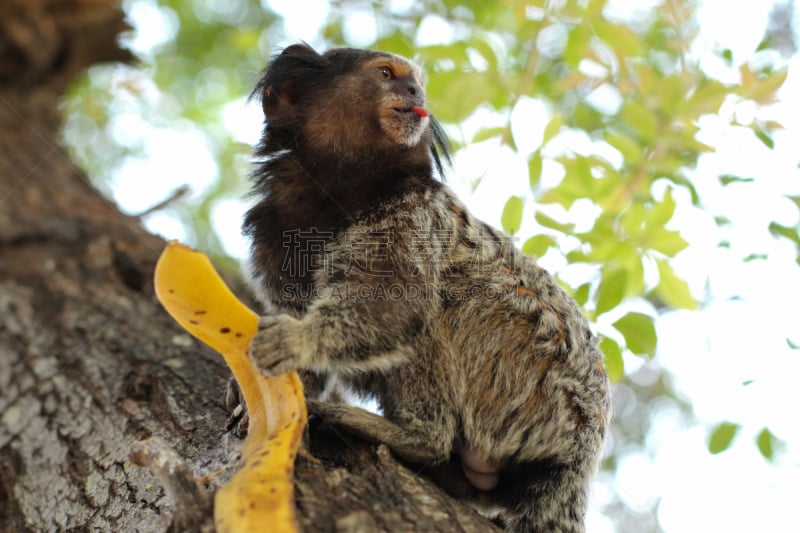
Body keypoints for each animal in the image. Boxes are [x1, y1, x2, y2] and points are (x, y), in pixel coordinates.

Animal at [241, 43, 608, 528]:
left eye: (416, 83)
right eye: (386, 74)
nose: (414, 93)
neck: (339, 187)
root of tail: (583, 449)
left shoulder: (412, 212)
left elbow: (396, 305)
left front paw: (297, 341)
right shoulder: (275, 230)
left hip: (532, 380)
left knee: (443, 308)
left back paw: (412, 436)